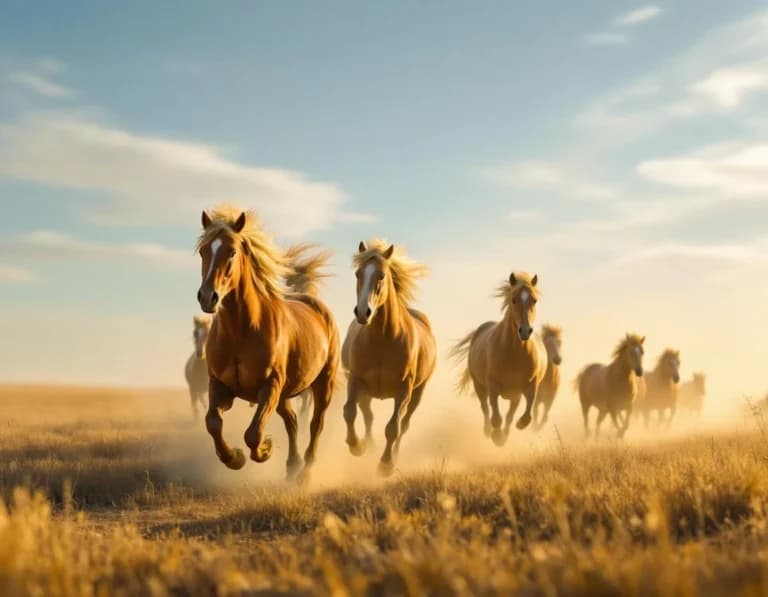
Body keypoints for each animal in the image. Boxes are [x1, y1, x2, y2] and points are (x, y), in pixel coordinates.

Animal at [341, 239, 436, 477]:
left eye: (381, 276)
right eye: (358, 273)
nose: (363, 312)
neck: (383, 341)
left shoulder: (404, 389)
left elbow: (393, 428)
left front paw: (385, 465)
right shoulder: (355, 380)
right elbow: (349, 412)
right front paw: (357, 446)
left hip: (417, 394)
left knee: (404, 424)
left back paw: (393, 458)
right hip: (366, 393)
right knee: (367, 415)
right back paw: (369, 445)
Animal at [451, 272, 547, 446]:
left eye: (534, 300)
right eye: (513, 299)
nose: (525, 331)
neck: (514, 354)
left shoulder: (530, 385)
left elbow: (526, 416)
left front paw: (516, 427)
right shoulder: (492, 386)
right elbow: (496, 417)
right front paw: (496, 436)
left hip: (514, 395)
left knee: (510, 413)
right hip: (479, 386)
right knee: (485, 408)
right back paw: (488, 431)